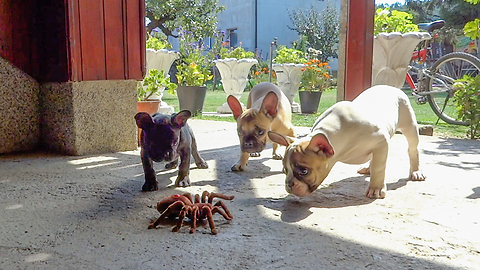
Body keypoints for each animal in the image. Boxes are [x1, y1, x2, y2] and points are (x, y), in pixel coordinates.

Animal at [268, 85, 426, 199]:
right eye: (284, 170)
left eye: (303, 171)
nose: (289, 184)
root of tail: (391, 87)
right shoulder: (380, 145)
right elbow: (377, 161)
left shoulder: (381, 141)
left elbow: (379, 168)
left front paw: (376, 188)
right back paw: (367, 168)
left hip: (409, 125)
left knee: (412, 149)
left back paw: (416, 172)